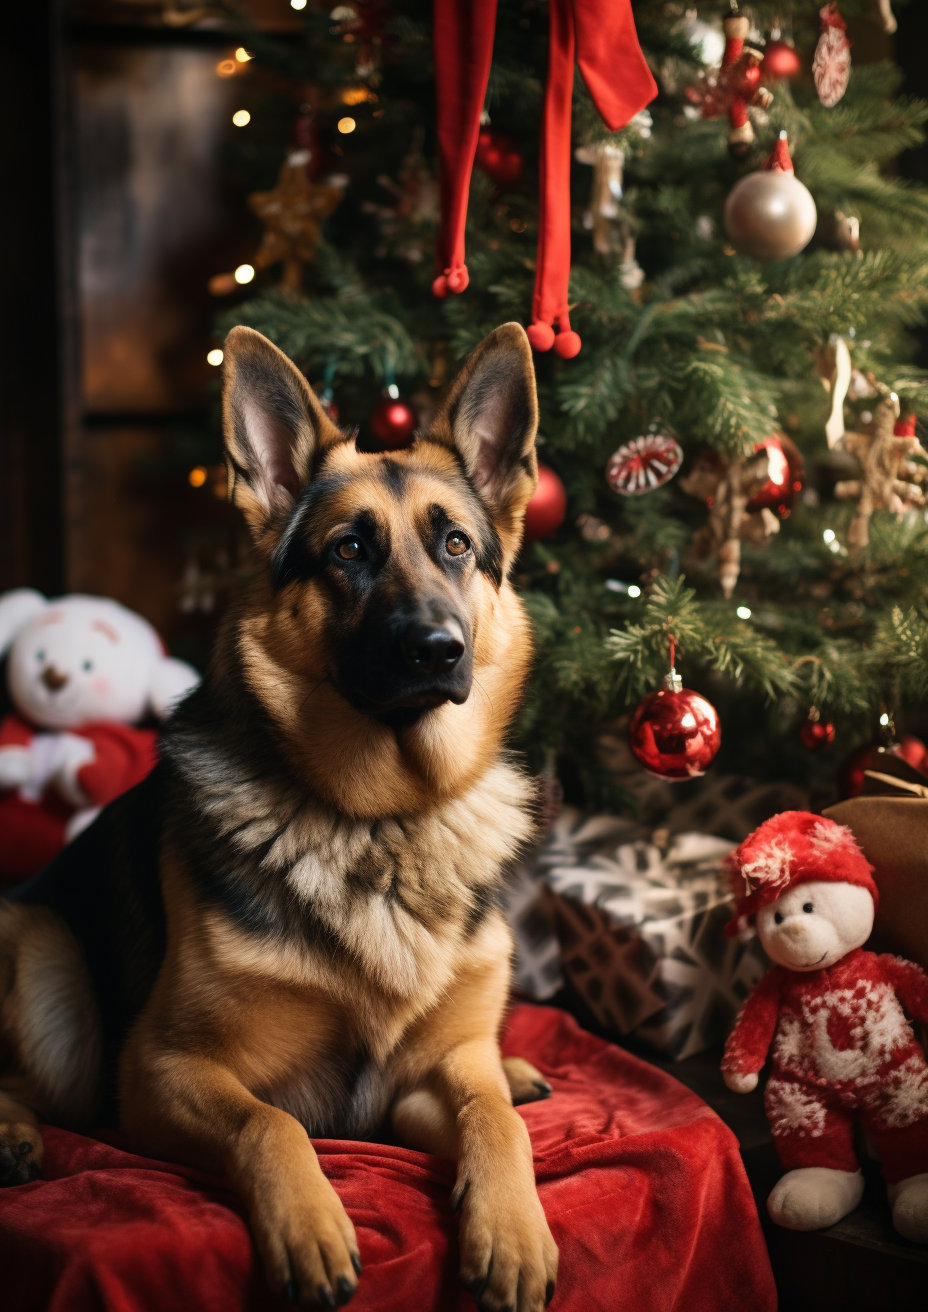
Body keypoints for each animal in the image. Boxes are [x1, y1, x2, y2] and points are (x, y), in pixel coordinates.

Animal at [0, 322, 559, 1306]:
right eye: (348, 551)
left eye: (456, 545)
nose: (438, 649)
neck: (385, 819)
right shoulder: (160, 1070)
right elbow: (272, 1123)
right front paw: (310, 1228)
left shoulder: (429, 1082)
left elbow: (494, 1116)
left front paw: (514, 1231)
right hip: (43, 952)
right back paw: (13, 1135)